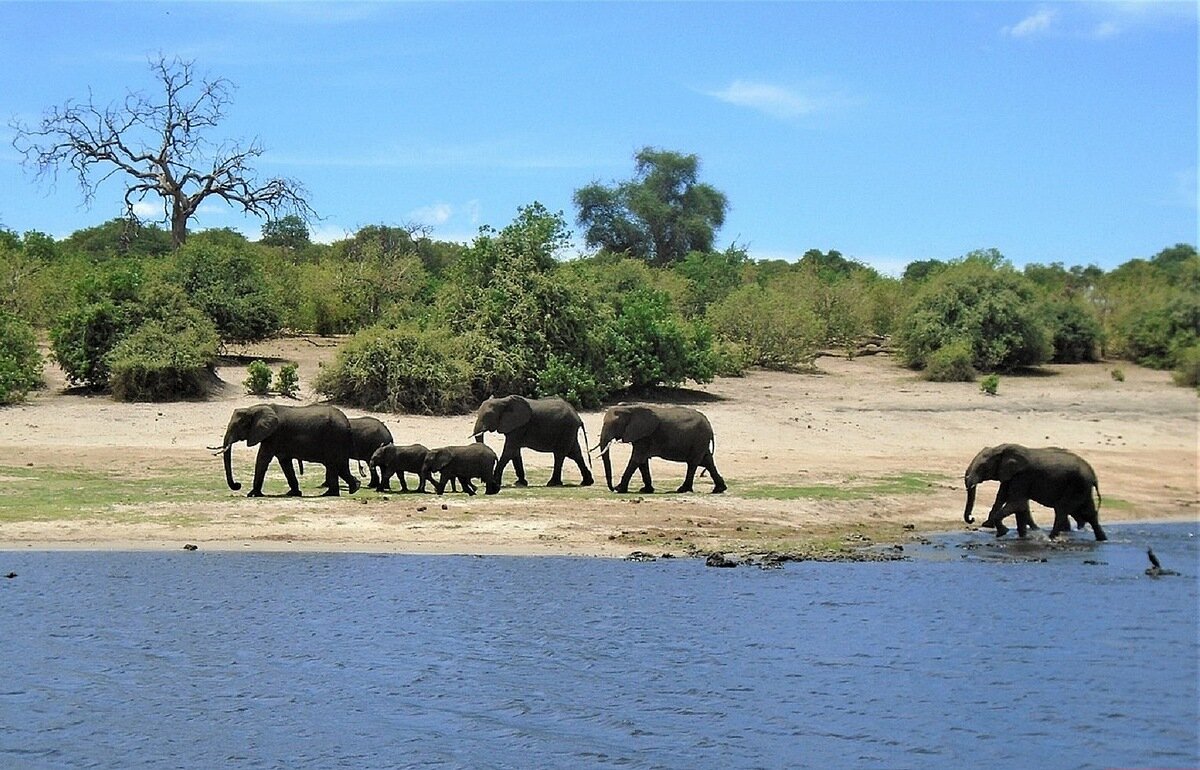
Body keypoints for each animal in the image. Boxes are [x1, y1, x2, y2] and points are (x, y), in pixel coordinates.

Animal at [213, 402, 357, 498]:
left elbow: (263, 459)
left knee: (333, 465)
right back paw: (354, 487)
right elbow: (284, 462)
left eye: (239, 425)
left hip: (334, 437)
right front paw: (294, 493)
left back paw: (330, 494)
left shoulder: (273, 434)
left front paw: (252, 494)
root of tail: (347, 422)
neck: (254, 408)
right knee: (339, 465)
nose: (238, 485)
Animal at [964, 441, 1104, 542]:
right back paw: (1102, 539)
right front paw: (1021, 538)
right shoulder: (1010, 475)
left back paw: (1050, 538)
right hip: (1083, 487)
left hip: (1077, 485)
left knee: (1061, 510)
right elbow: (1005, 499)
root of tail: (1094, 477)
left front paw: (1002, 532)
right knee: (1090, 513)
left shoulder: (1022, 476)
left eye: (982, 467)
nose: (972, 519)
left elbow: (1017, 503)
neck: (1000, 448)